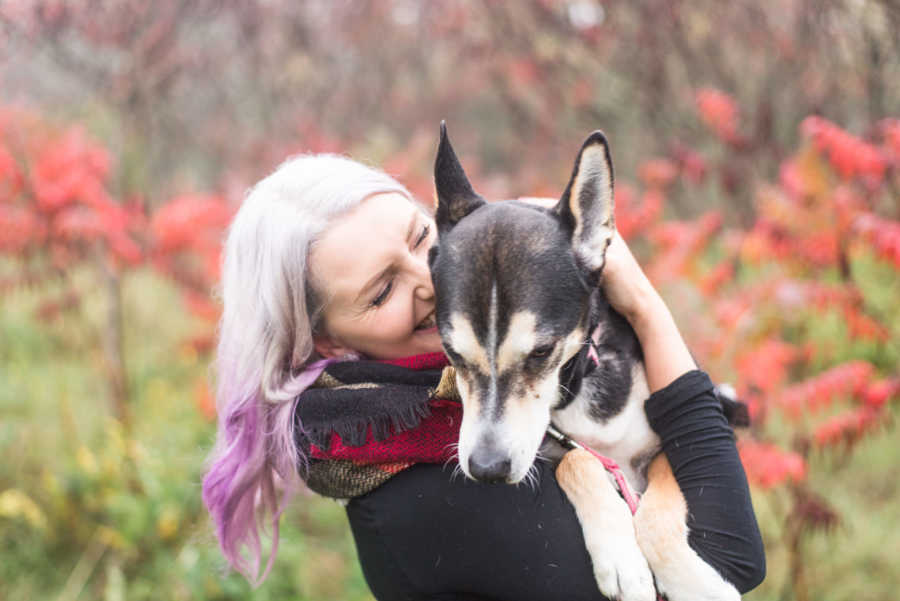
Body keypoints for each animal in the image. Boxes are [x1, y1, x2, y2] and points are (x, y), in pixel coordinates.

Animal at [428, 123, 744, 600]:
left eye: (542, 351)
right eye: (452, 352)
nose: (487, 470)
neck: (578, 385)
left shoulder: (664, 450)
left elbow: (655, 520)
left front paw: (697, 583)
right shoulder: (553, 447)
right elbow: (580, 461)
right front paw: (621, 558)